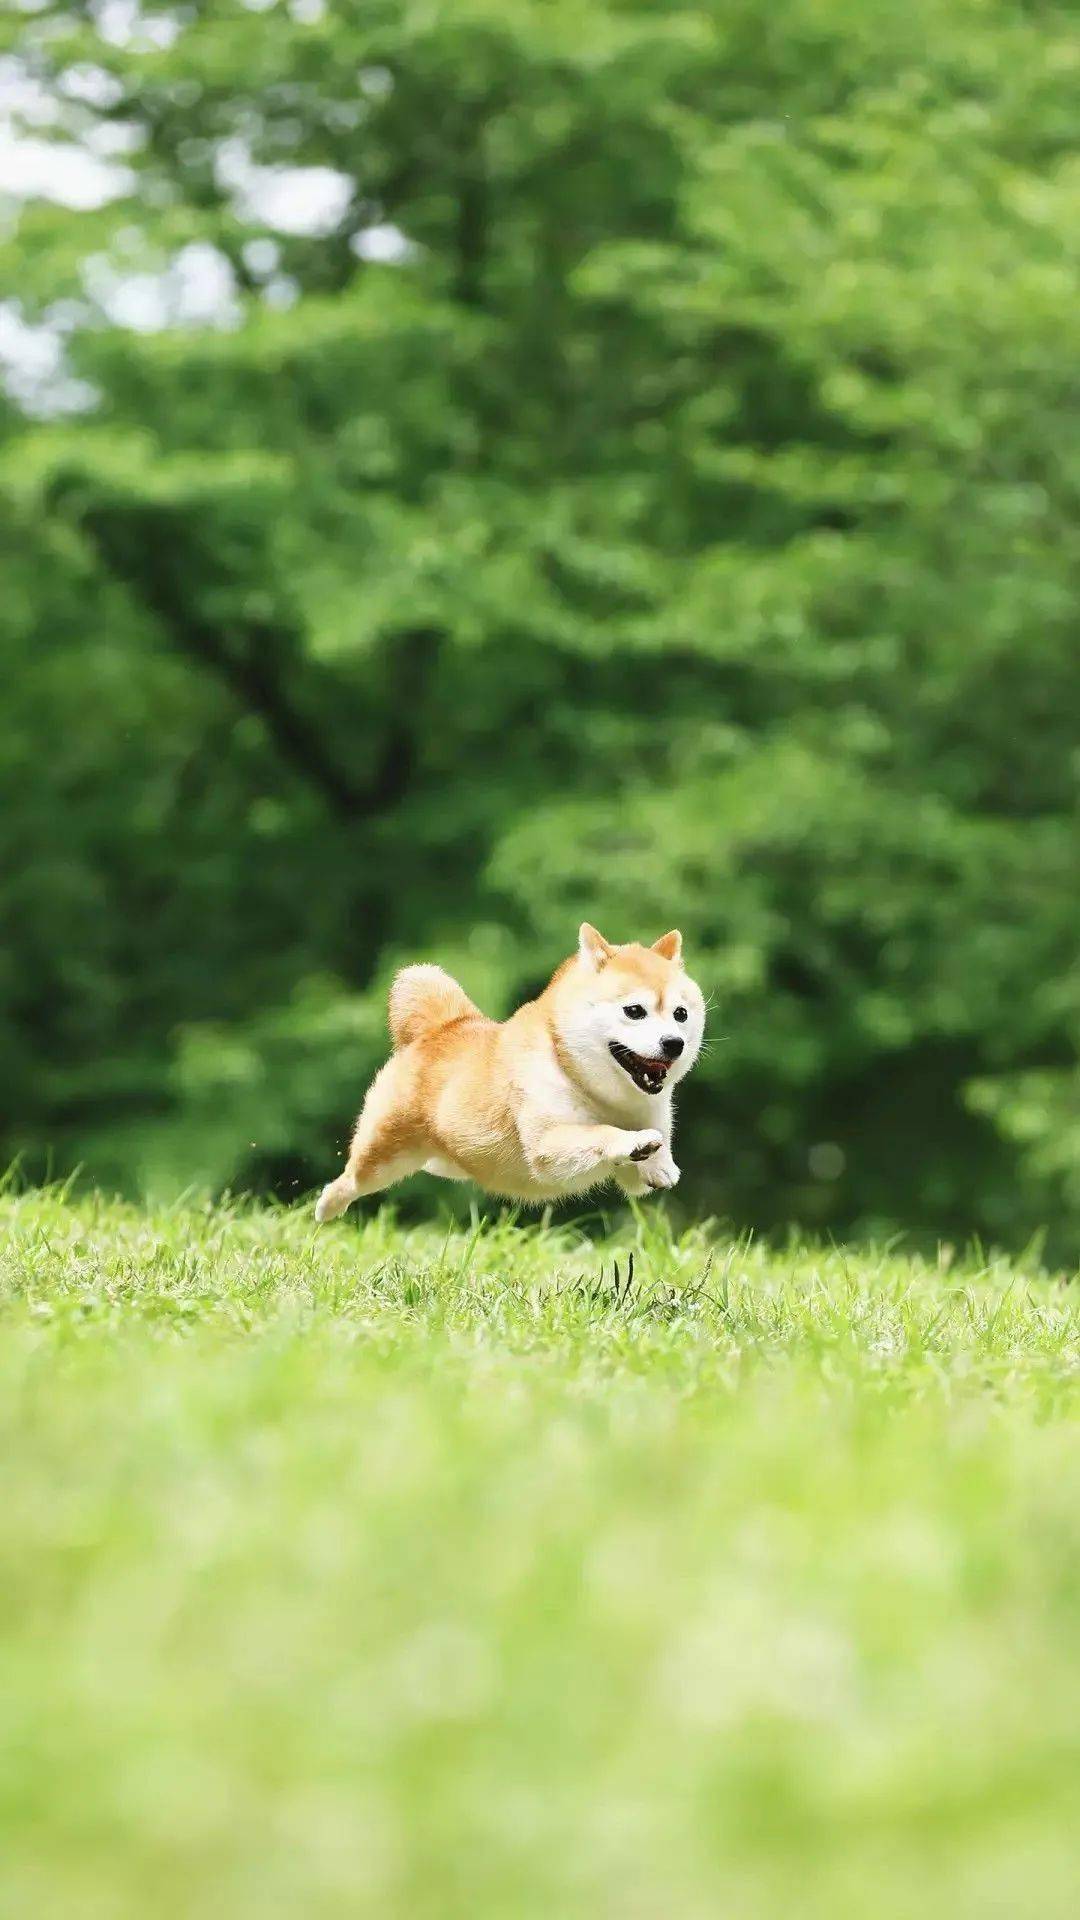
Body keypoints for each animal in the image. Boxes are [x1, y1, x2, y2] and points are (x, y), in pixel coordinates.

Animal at [313, 921, 699, 1221]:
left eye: (680, 1014)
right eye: (634, 1011)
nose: (674, 1043)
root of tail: (444, 1027)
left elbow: (648, 1155)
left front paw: (657, 1162)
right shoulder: (547, 1145)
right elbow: (601, 1133)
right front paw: (632, 1139)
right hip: (383, 1153)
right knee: (349, 1180)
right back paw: (327, 1207)